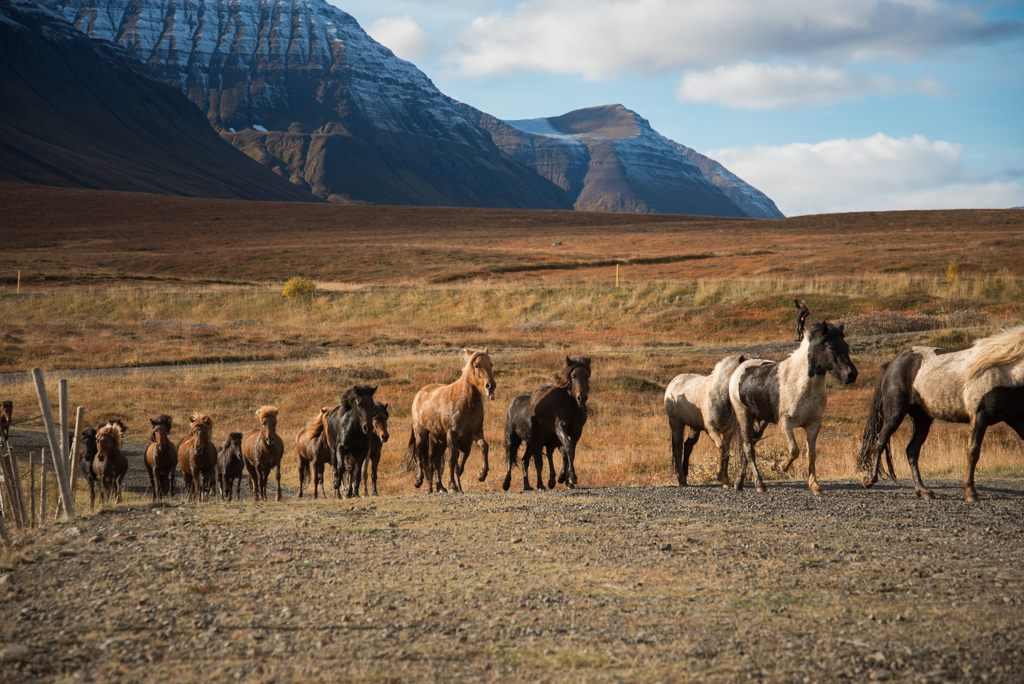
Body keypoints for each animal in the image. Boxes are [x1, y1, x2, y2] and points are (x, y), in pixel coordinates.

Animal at [403, 348, 495, 491]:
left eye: (491, 365)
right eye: (476, 366)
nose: (491, 386)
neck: (464, 402)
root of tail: (420, 393)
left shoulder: (473, 435)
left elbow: (482, 448)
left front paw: (481, 475)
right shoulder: (452, 435)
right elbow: (452, 460)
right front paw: (452, 485)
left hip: (439, 439)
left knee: (435, 460)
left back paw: (440, 487)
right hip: (421, 433)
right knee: (420, 454)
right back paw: (418, 480)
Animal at [499, 356, 589, 489]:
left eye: (587, 376)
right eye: (573, 376)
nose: (581, 398)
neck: (571, 407)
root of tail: (513, 402)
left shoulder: (575, 432)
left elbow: (568, 452)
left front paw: (564, 479)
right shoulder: (558, 430)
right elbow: (566, 449)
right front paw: (569, 477)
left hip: (532, 442)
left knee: (525, 460)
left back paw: (528, 486)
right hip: (513, 437)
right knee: (511, 456)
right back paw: (507, 483)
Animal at [724, 323, 860, 493]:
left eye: (846, 346)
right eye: (831, 346)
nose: (851, 374)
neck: (799, 384)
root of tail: (741, 366)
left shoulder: (813, 424)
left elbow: (811, 454)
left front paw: (815, 485)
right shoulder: (785, 422)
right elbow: (794, 450)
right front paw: (777, 466)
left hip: (761, 420)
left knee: (748, 446)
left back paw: (739, 483)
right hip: (743, 415)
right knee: (748, 447)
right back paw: (759, 484)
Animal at [856, 323, 1024, 499]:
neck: (1007, 372)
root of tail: (892, 363)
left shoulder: (1016, 417)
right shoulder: (979, 416)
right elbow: (973, 451)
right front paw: (970, 492)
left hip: (922, 418)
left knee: (912, 450)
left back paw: (922, 490)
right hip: (895, 414)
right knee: (880, 441)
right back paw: (869, 480)